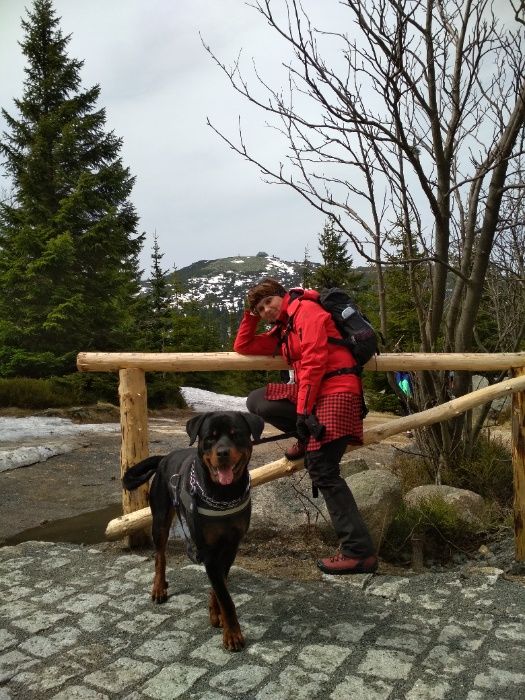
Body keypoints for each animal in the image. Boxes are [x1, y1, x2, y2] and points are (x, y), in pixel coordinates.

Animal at [122, 410, 262, 652]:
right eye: (210, 437)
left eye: (236, 434)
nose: (222, 452)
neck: (223, 495)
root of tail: (164, 457)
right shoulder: (207, 549)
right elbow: (225, 596)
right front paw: (233, 634)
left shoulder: (231, 545)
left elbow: (220, 585)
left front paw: (217, 614)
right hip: (160, 519)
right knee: (160, 556)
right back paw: (159, 588)